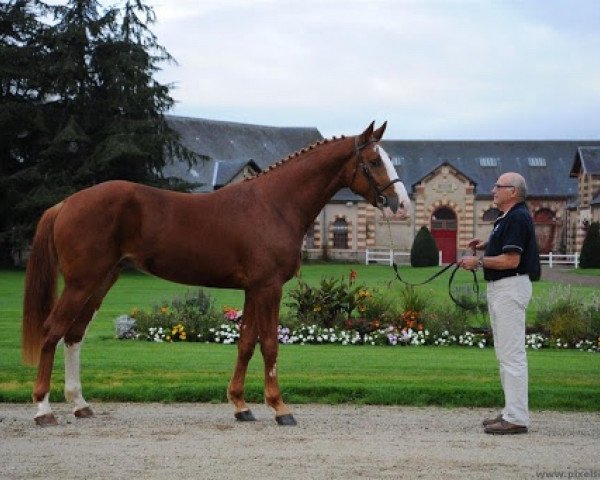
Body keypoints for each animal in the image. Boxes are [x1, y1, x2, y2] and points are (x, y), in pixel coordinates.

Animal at [21, 122, 410, 426]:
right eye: (374, 161)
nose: (402, 204)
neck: (274, 204)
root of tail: (66, 203)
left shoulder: (253, 289)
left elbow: (246, 344)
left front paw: (240, 405)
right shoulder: (268, 287)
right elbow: (270, 344)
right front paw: (280, 408)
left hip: (101, 281)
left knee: (74, 335)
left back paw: (80, 404)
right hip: (81, 282)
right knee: (52, 331)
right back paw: (43, 410)